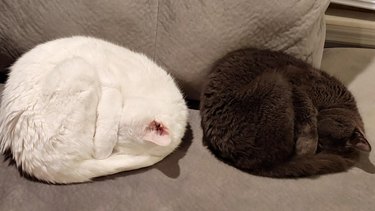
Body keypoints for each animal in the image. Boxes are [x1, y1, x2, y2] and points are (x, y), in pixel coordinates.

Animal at [201, 48, 372, 178]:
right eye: (321, 145)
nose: (318, 150)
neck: (335, 100)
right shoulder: (295, 81)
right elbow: (308, 110)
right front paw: (306, 148)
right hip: (276, 79)